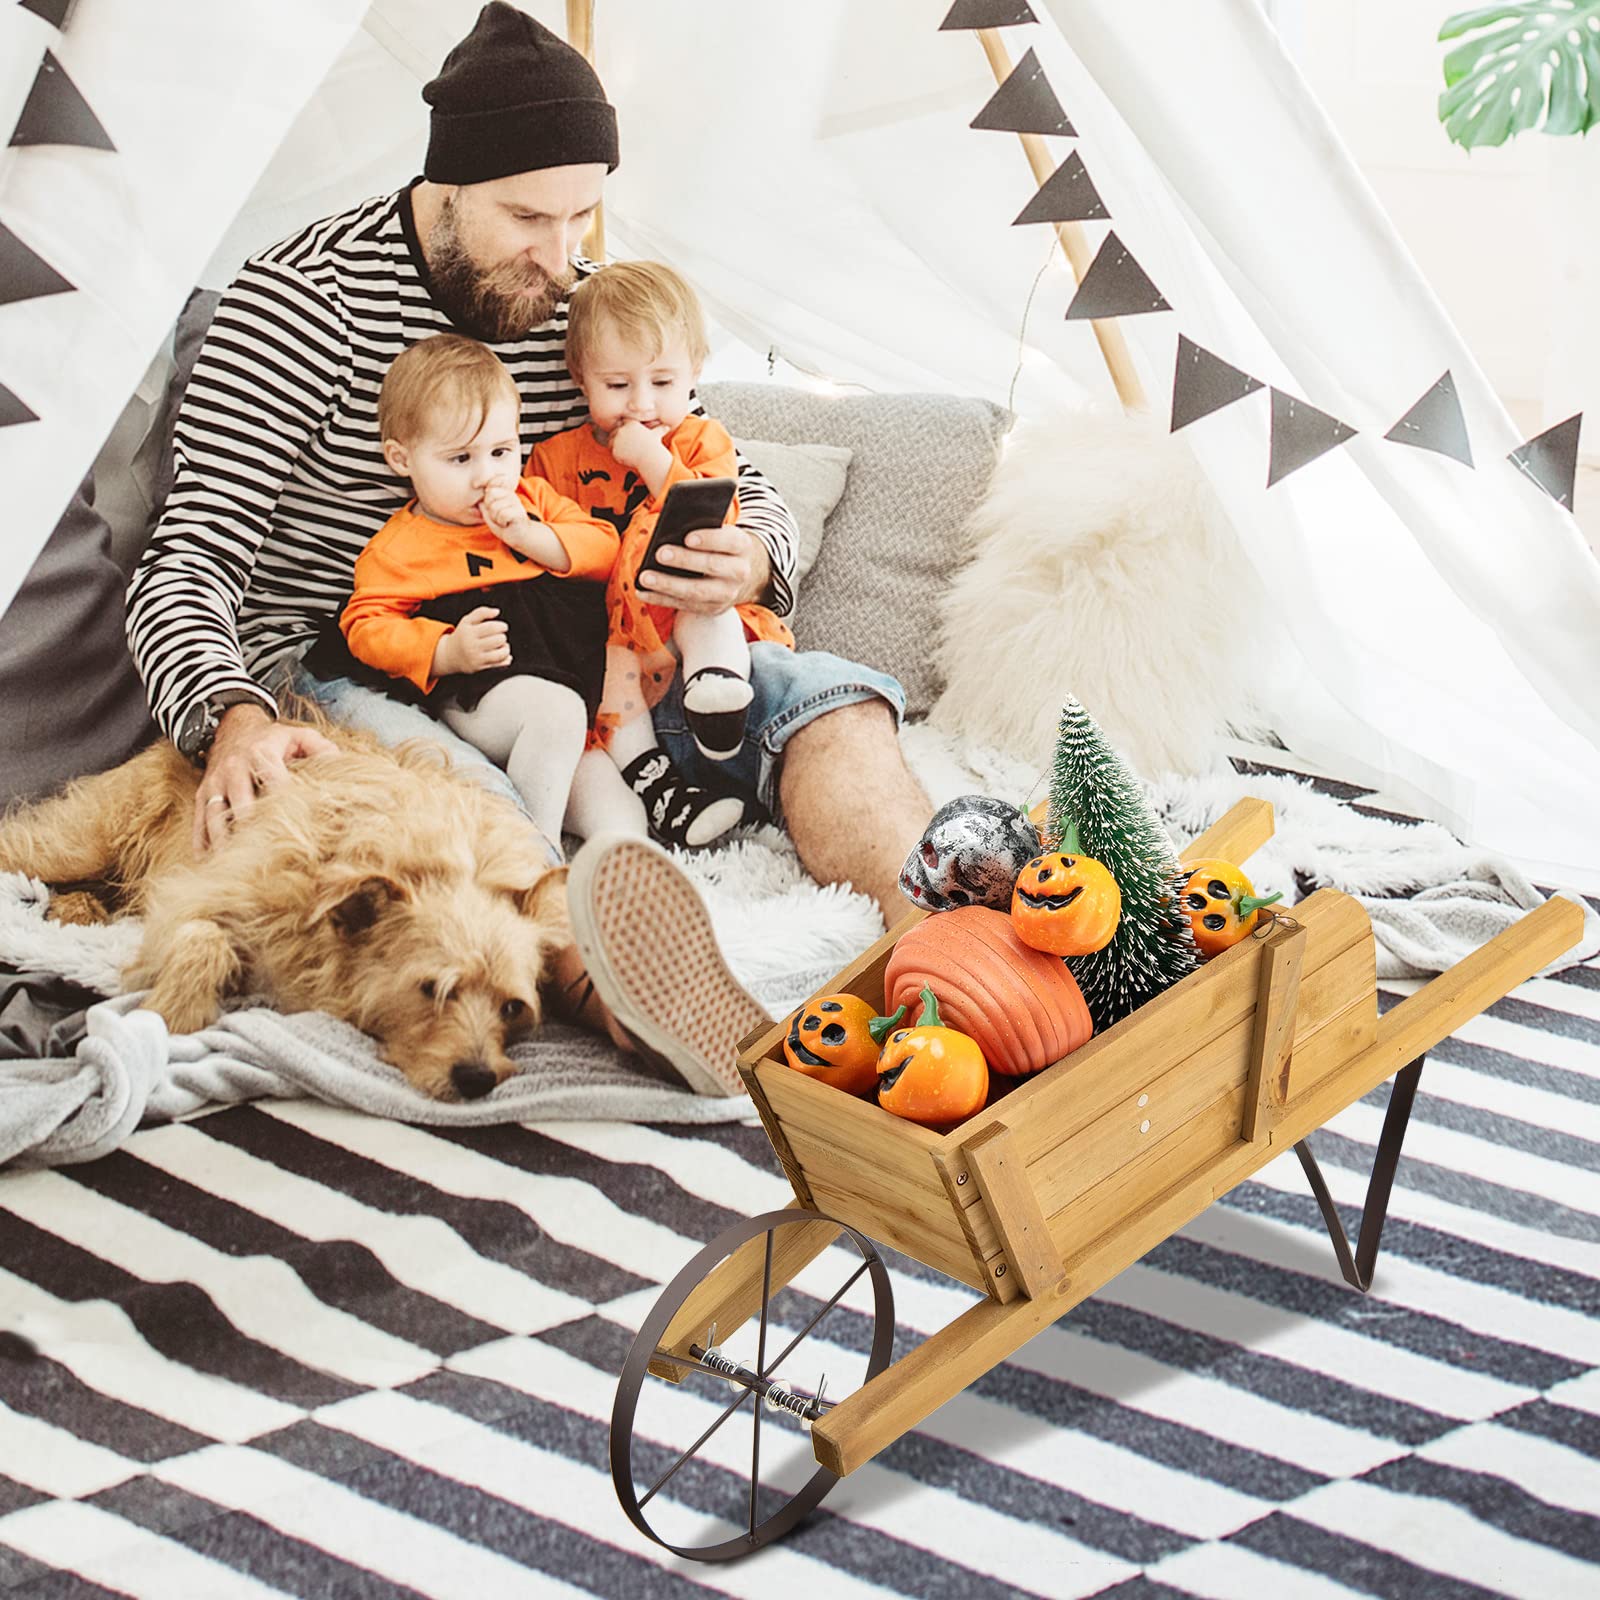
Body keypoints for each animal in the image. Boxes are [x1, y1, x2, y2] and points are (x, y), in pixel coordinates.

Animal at [0, 726, 569, 1100]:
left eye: (512, 1007)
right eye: (431, 989)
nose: (477, 1079)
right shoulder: (188, 904)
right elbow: (204, 941)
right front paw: (172, 1014)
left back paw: (78, 907)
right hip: (76, 844)